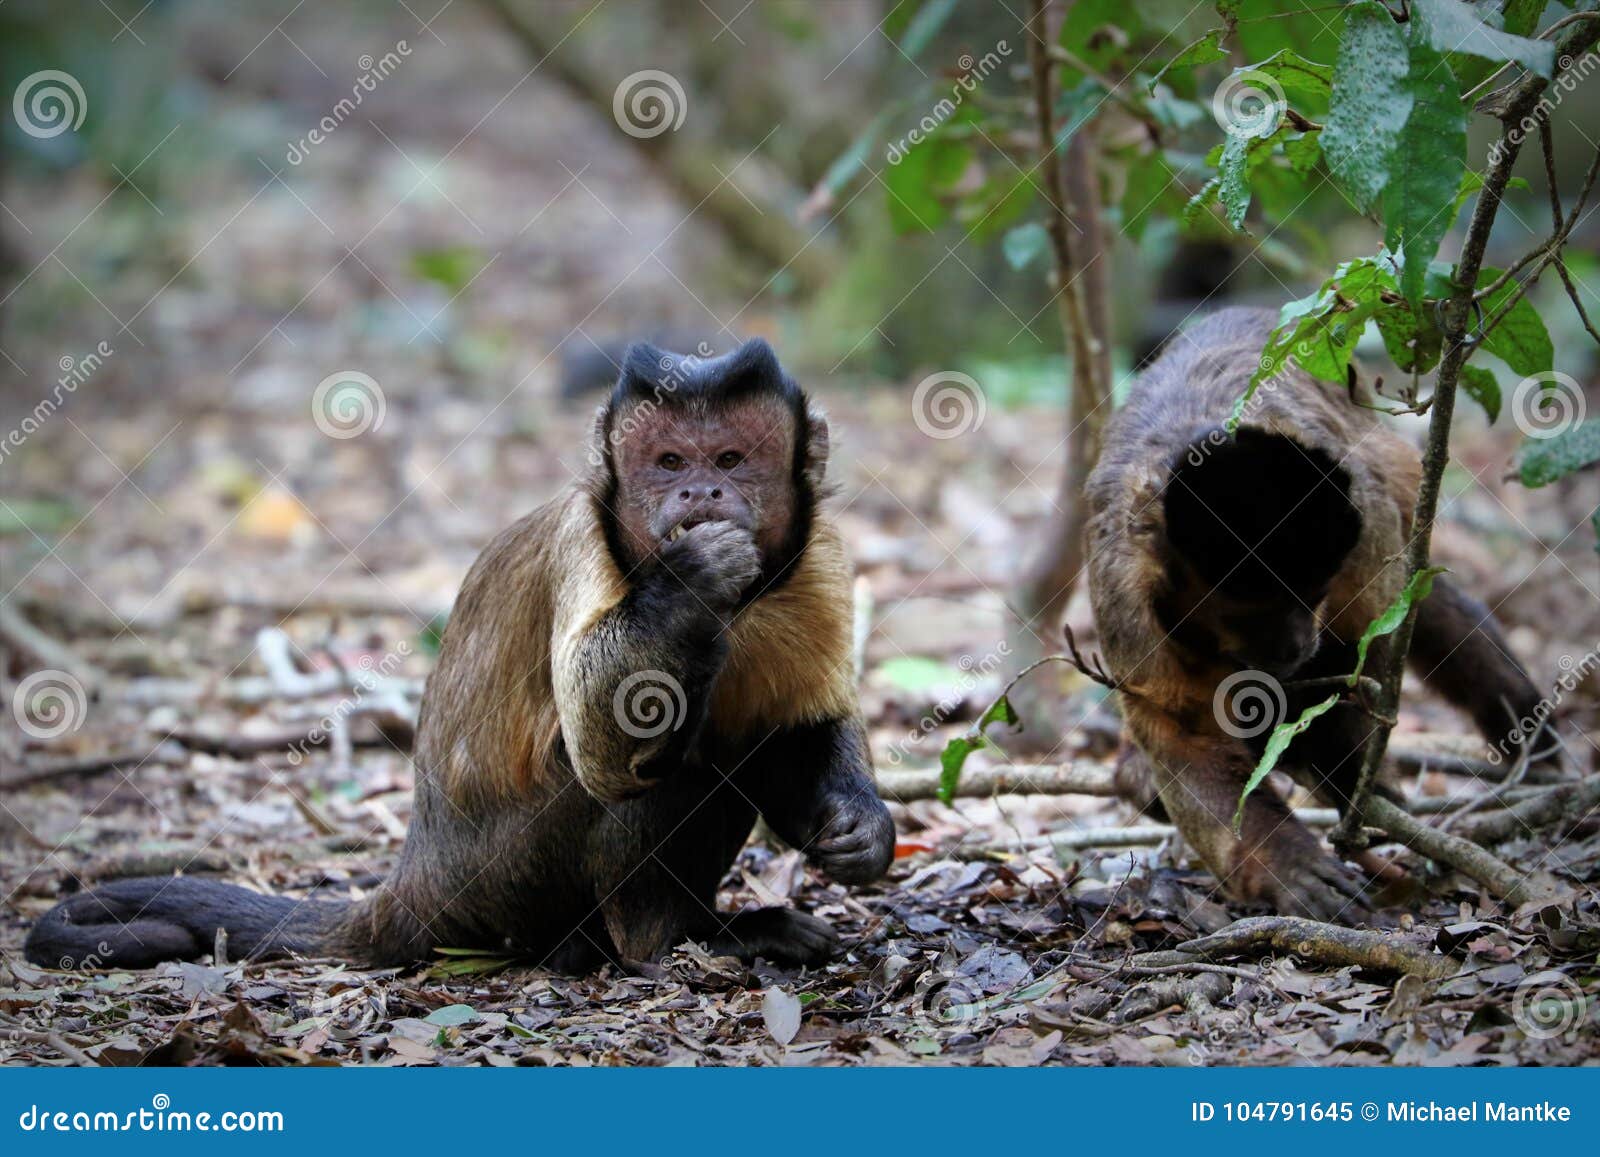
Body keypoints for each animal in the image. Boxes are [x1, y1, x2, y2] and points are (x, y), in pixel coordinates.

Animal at [26, 339, 895, 971]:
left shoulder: (819, 557)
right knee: (679, 755)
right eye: (670, 463)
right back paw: (675, 942)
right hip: (509, 873)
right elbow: (605, 747)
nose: (700, 496)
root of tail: (420, 876)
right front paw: (688, 582)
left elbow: (808, 720)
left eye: (731, 460)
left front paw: (861, 826)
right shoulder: (582, 543)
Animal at [1086, 307, 1558, 921]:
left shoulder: (1363, 528)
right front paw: (1283, 862)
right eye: (1248, 613)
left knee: (1427, 614)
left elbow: (1370, 648)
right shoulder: (1125, 598)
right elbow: (1184, 733)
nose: (1292, 644)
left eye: (1309, 597)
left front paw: (1349, 772)